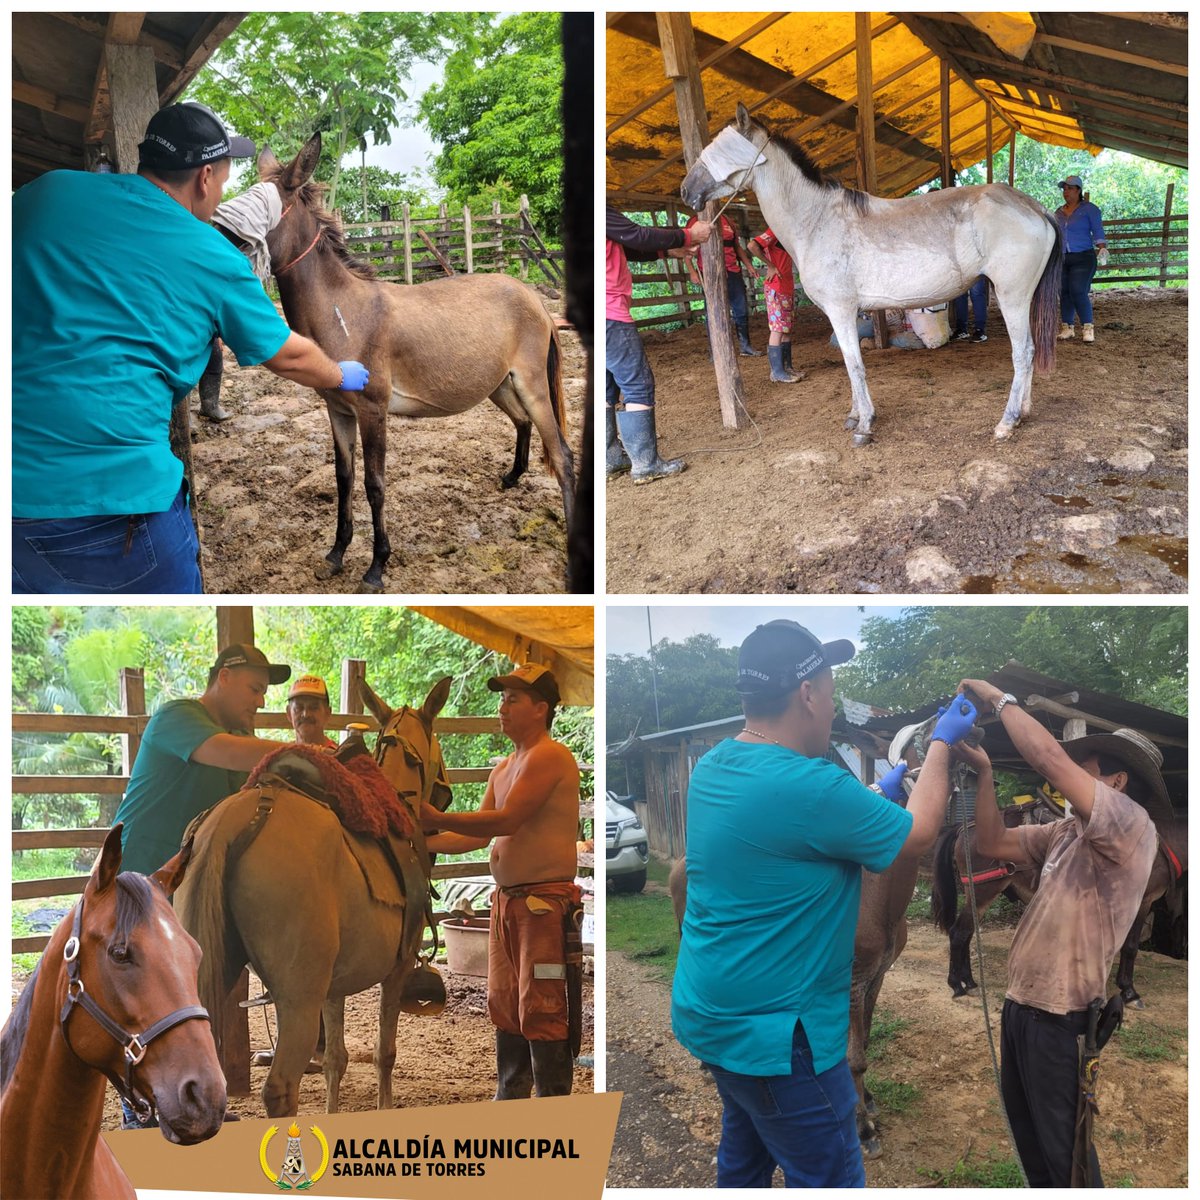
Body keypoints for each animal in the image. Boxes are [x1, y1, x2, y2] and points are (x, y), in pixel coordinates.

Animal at [177, 676, 453, 1113]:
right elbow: (384, 1053)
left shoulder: (333, 988)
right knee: (280, 1088)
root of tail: (233, 819)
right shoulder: (396, 970)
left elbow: (336, 1060)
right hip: (298, 1000)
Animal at [259, 136, 576, 590]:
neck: (344, 311)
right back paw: (511, 477)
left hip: (531, 384)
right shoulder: (338, 410)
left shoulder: (373, 410)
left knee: (563, 456)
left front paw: (376, 566)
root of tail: (534, 299)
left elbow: (374, 484)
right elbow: (343, 478)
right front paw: (336, 553)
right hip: (499, 384)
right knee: (522, 422)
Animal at [681, 105, 1065, 444]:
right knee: (1029, 353)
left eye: (718, 149)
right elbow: (850, 366)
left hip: (1012, 296)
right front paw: (854, 416)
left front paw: (865, 424)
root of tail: (1034, 207)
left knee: (1023, 353)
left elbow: (855, 365)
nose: (686, 190)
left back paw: (1007, 422)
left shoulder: (841, 311)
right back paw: (1024, 412)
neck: (817, 220)